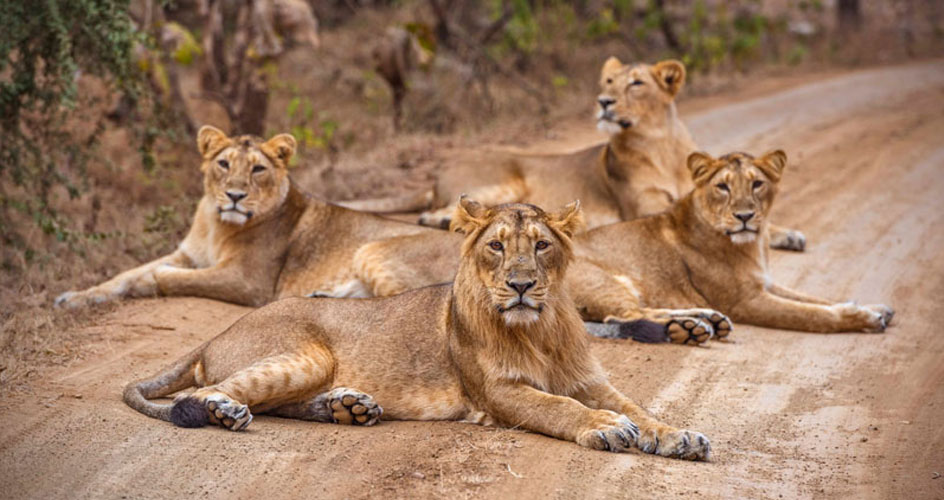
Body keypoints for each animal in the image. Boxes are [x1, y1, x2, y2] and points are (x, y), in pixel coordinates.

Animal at [54, 125, 432, 308]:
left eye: (258, 169)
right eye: (224, 164)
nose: (235, 196)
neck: (215, 225)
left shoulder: (247, 281)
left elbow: (170, 277)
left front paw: (147, 283)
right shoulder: (187, 254)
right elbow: (123, 274)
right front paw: (74, 298)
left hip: (373, 250)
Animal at [127, 199, 716, 460]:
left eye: (541, 245)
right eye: (496, 245)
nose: (522, 285)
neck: (539, 328)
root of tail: (213, 335)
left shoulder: (591, 380)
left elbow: (640, 407)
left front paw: (677, 435)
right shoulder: (500, 393)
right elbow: (560, 408)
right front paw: (607, 427)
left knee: (276, 403)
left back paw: (348, 407)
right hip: (305, 355)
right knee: (202, 393)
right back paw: (228, 412)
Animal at [340, 57, 804, 252]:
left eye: (636, 83)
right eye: (608, 82)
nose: (603, 101)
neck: (660, 144)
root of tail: (439, 170)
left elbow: (757, 219)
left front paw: (785, 233)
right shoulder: (643, 208)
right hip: (504, 182)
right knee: (448, 211)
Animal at [344, 150, 892, 342]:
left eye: (757, 184)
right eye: (722, 187)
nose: (745, 215)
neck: (750, 245)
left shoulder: (767, 284)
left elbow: (817, 299)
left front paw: (871, 308)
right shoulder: (749, 299)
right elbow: (812, 315)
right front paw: (860, 320)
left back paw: (702, 320)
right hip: (609, 278)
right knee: (623, 315)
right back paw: (695, 326)